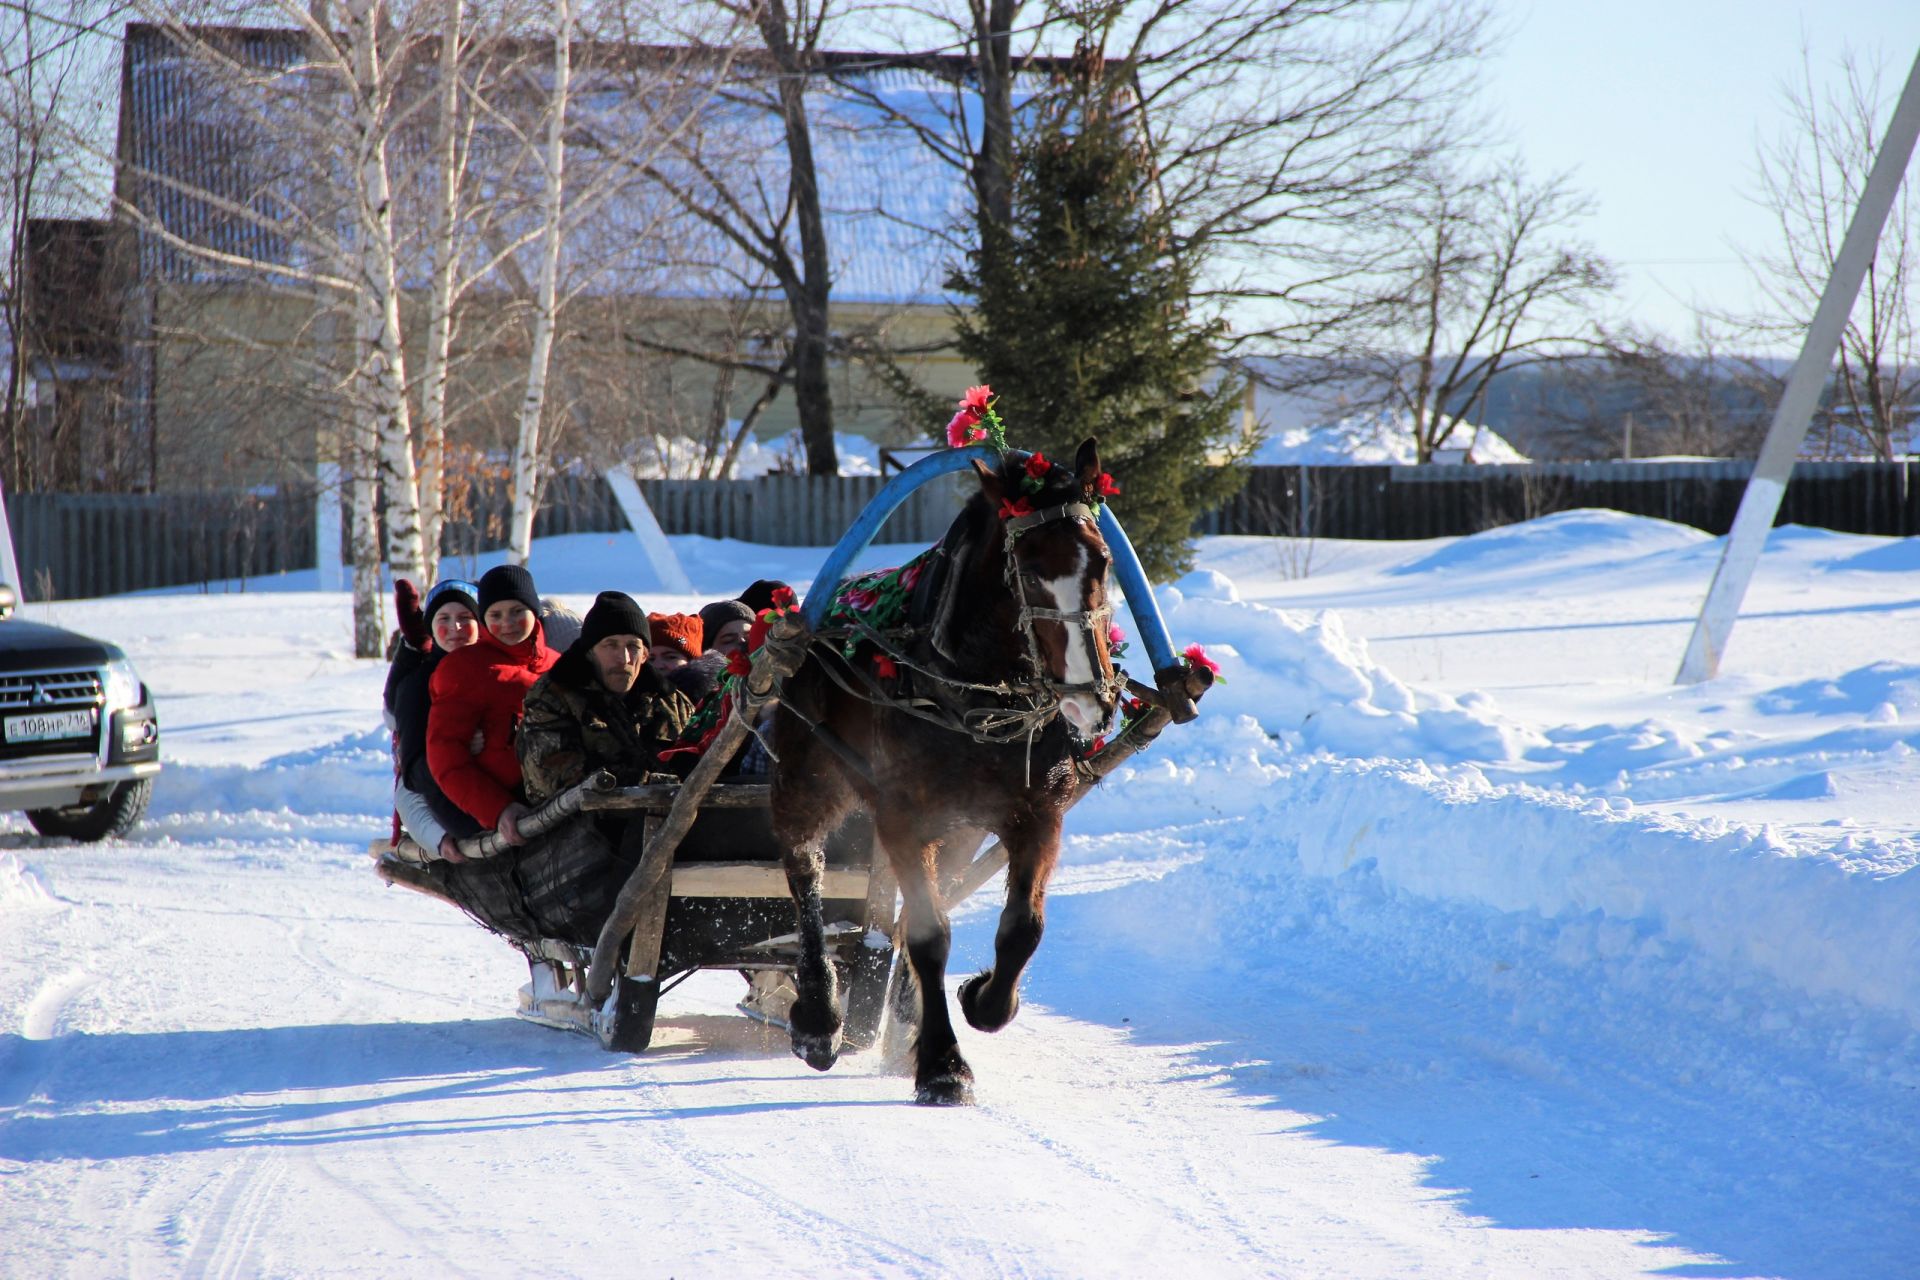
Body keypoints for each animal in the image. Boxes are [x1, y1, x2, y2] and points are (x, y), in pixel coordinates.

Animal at [768, 437, 1121, 1105]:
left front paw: (982, 1000)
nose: (1093, 698)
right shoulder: (902, 817)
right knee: (805, 870)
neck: (972, 695)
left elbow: (1022, 928)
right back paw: (819, 1016)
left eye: (1105, 561)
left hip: (959, 829)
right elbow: (930, 937)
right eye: (1028, 570)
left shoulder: (1037, 813)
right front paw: (942, 1064)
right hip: (807, 779)